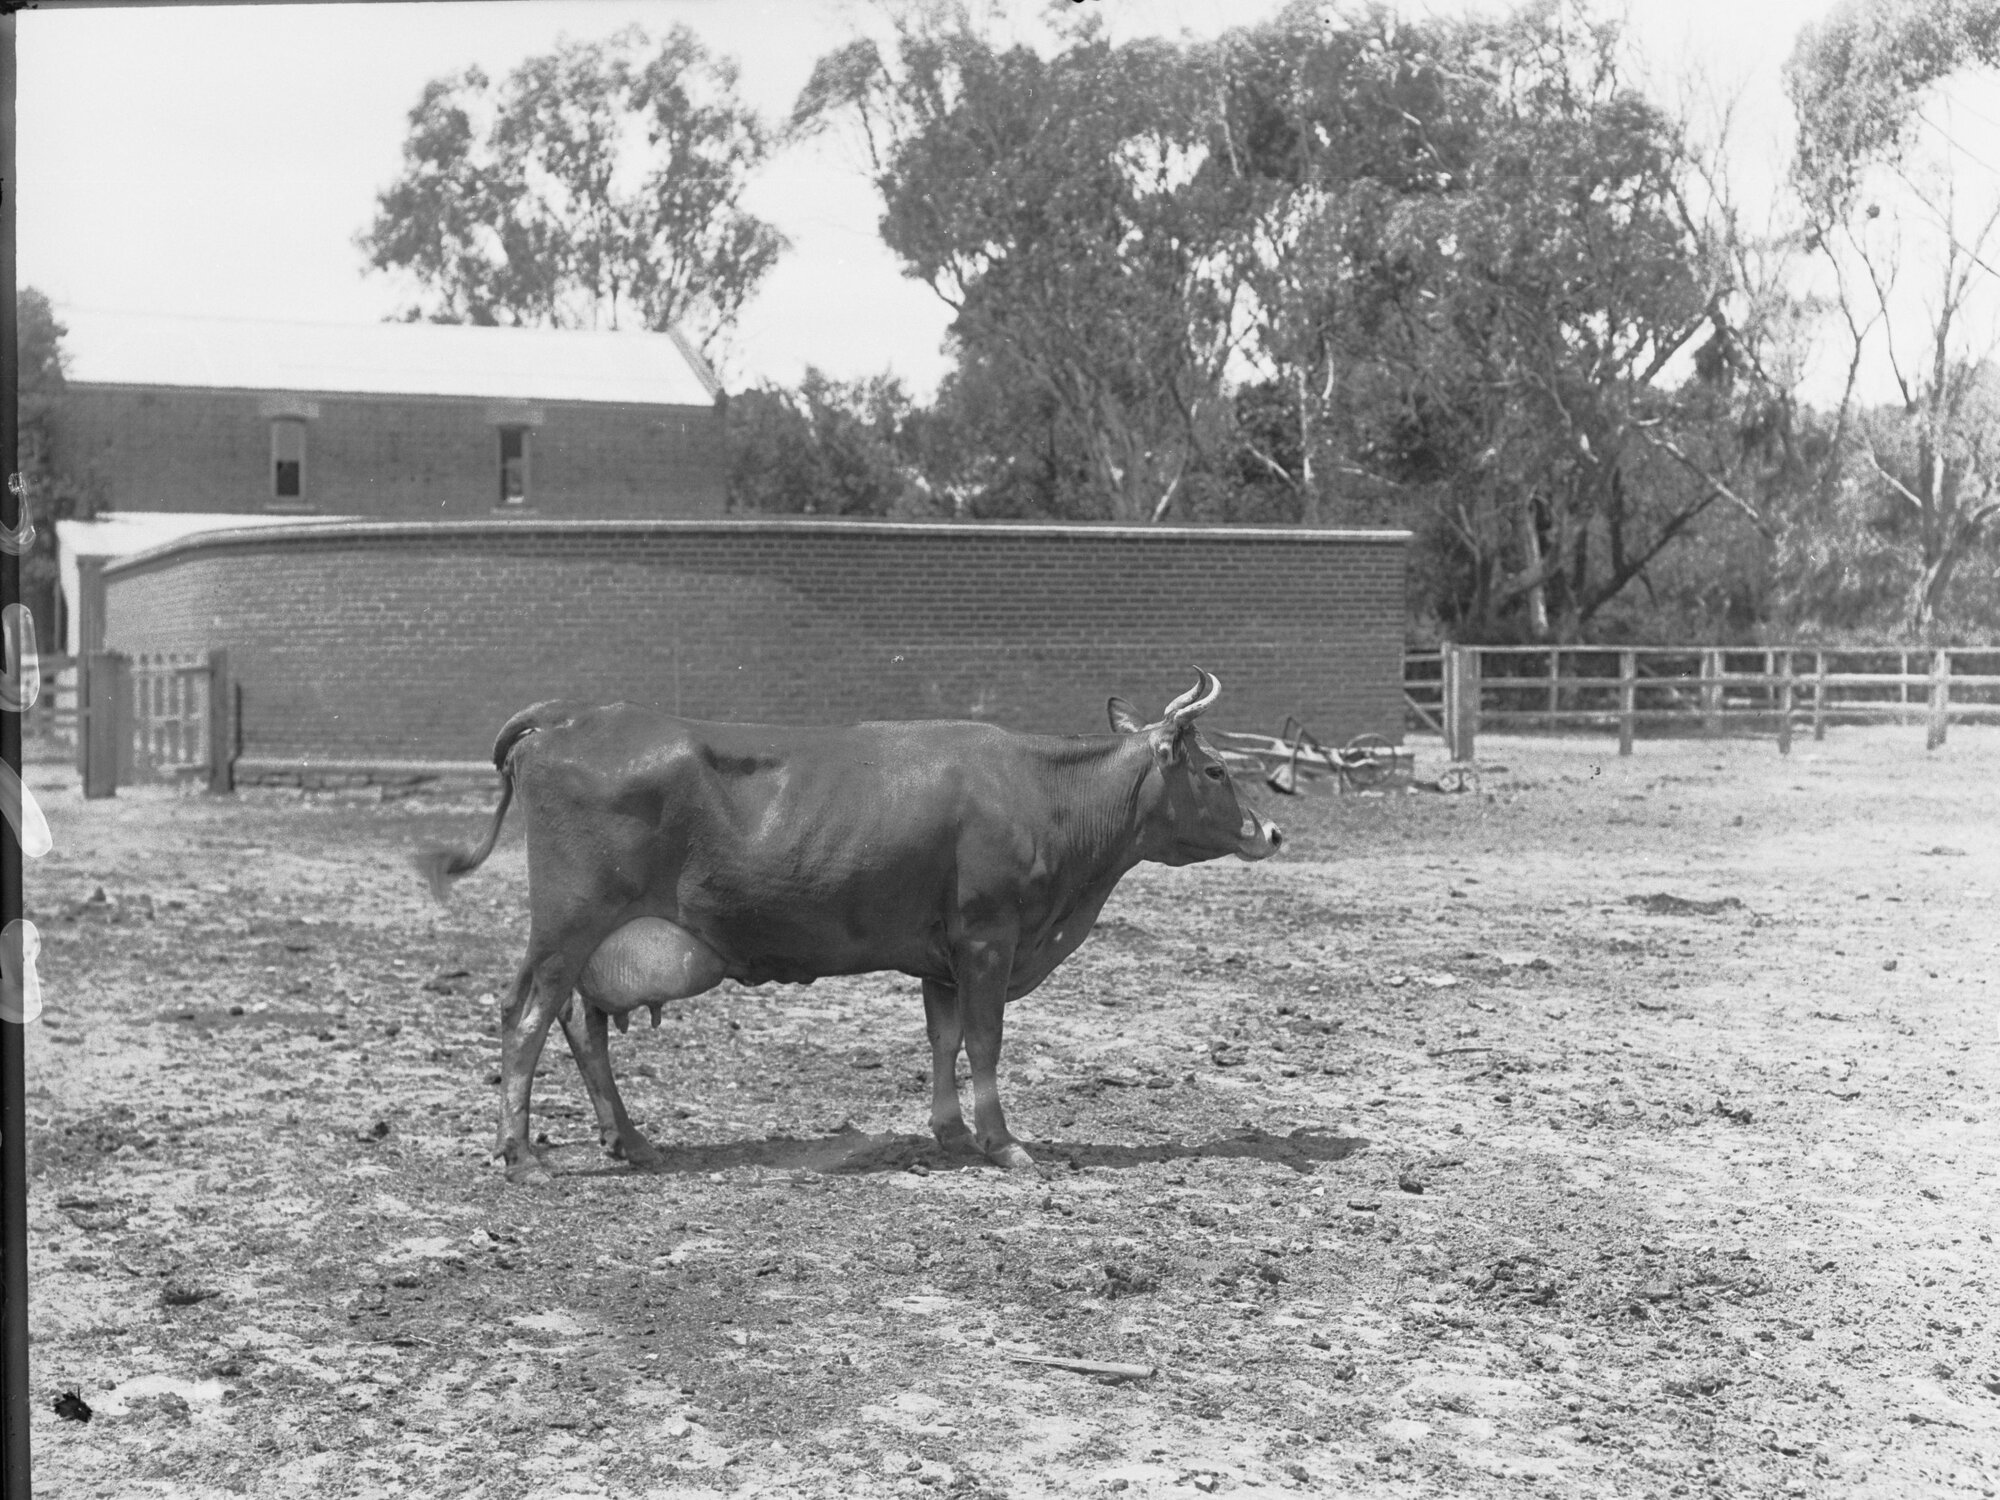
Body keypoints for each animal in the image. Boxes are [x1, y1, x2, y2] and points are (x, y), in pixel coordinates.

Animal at [417, 670, 1281, 1185]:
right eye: (1215, 770)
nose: (1270, 831)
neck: (1044, 794)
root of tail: (573, 715)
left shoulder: (941, 956)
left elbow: (943, 1038)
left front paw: (950, 1131)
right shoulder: (988, 938)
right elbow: (984, 1041)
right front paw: (1003, 1141)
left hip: (592, 938)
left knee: (578, 1023)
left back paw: (626, 1138)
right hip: (569, 923)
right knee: (528, 1016)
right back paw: (521, 1153)